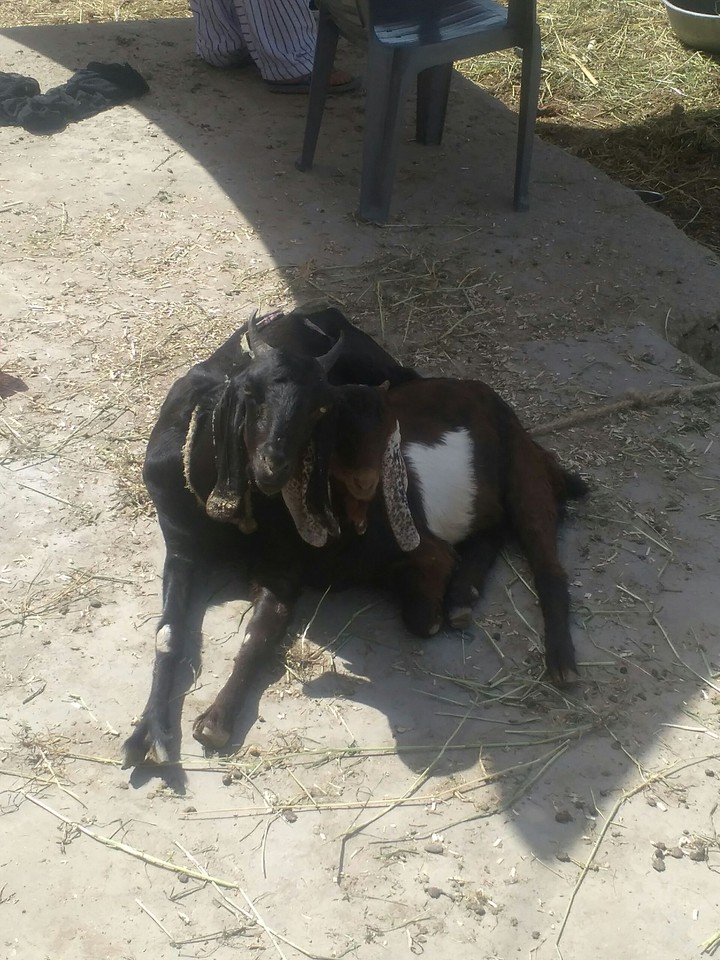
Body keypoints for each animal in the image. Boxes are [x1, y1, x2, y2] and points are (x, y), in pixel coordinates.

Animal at [122, 304, 421, 767]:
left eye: (320, 409)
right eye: (250, 392)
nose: (273, 467)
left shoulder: (284, 566)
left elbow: (259, 634)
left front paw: (215, 721)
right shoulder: (181, 549)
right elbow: (168, 635)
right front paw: (150, 732)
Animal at [302, 378, 588, 681]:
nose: (366, 480)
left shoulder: (428, 550)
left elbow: (422, 619)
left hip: (523, 474)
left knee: (548, 567)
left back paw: (562, 662)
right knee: (494, 526)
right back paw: (462, 596)